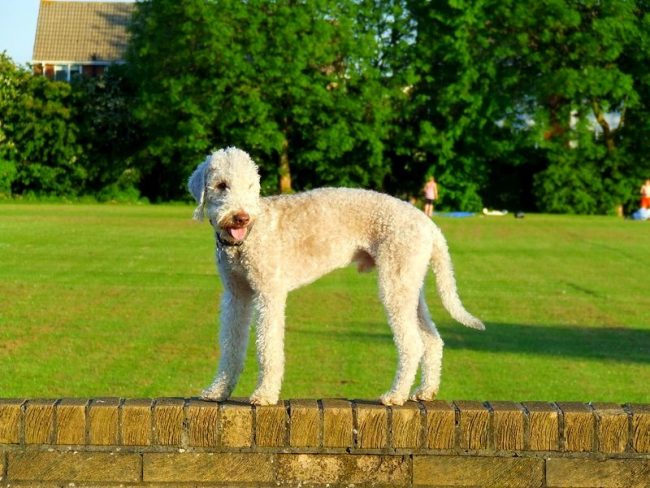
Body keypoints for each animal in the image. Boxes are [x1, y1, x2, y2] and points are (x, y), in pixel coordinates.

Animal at [187, 147, 480, 406]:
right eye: (221, 185)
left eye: (251, 186)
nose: (241, 217)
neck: (247, 239)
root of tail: (429, 225)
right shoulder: (236, 295)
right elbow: (231, 345)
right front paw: (218, 390)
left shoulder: (268, 292)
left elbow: (267, 348)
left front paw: (264, 395)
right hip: (409, 282)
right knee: (432, 339)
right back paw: (425, 391)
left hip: (395, 281)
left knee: (413, 344)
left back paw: (395, 395)